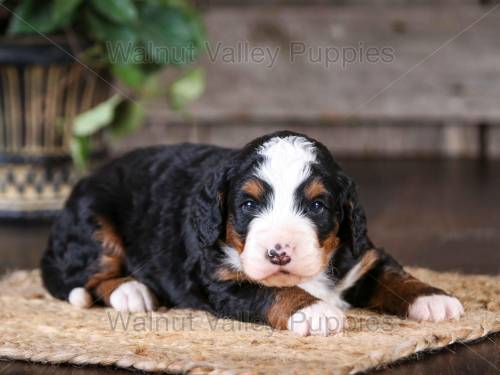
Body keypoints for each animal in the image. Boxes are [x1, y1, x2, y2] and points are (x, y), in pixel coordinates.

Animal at [43, 132, 464, 338]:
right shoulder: (221, 281)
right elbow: (273, 291)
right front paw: (313, 311)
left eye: (317, 206)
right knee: (91, 275)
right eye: (248, 204)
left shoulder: (360, 257)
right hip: (95, 222)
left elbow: (392, 275)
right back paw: (132, 291)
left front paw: (432, 298)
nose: (279, 252)